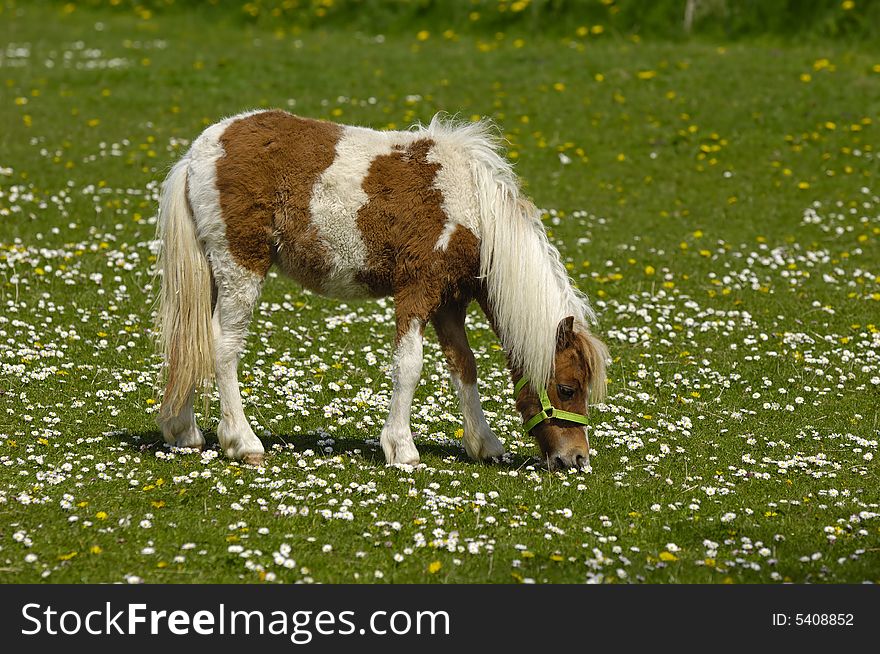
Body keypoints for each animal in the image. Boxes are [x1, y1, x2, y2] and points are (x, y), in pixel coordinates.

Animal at [155, 111, 608, 472]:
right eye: (567, 389)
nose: (576, 459)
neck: (473, 210)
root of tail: (198, 154)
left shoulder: (449, 303)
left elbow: (464, 366)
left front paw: (484, 444)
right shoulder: (417, 290)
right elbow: (409, 366)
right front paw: (402, 449)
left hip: (215, 273)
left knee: (191, 339)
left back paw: (183, 431)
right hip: (241, 267)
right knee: (221, 346)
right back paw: (242, 442)